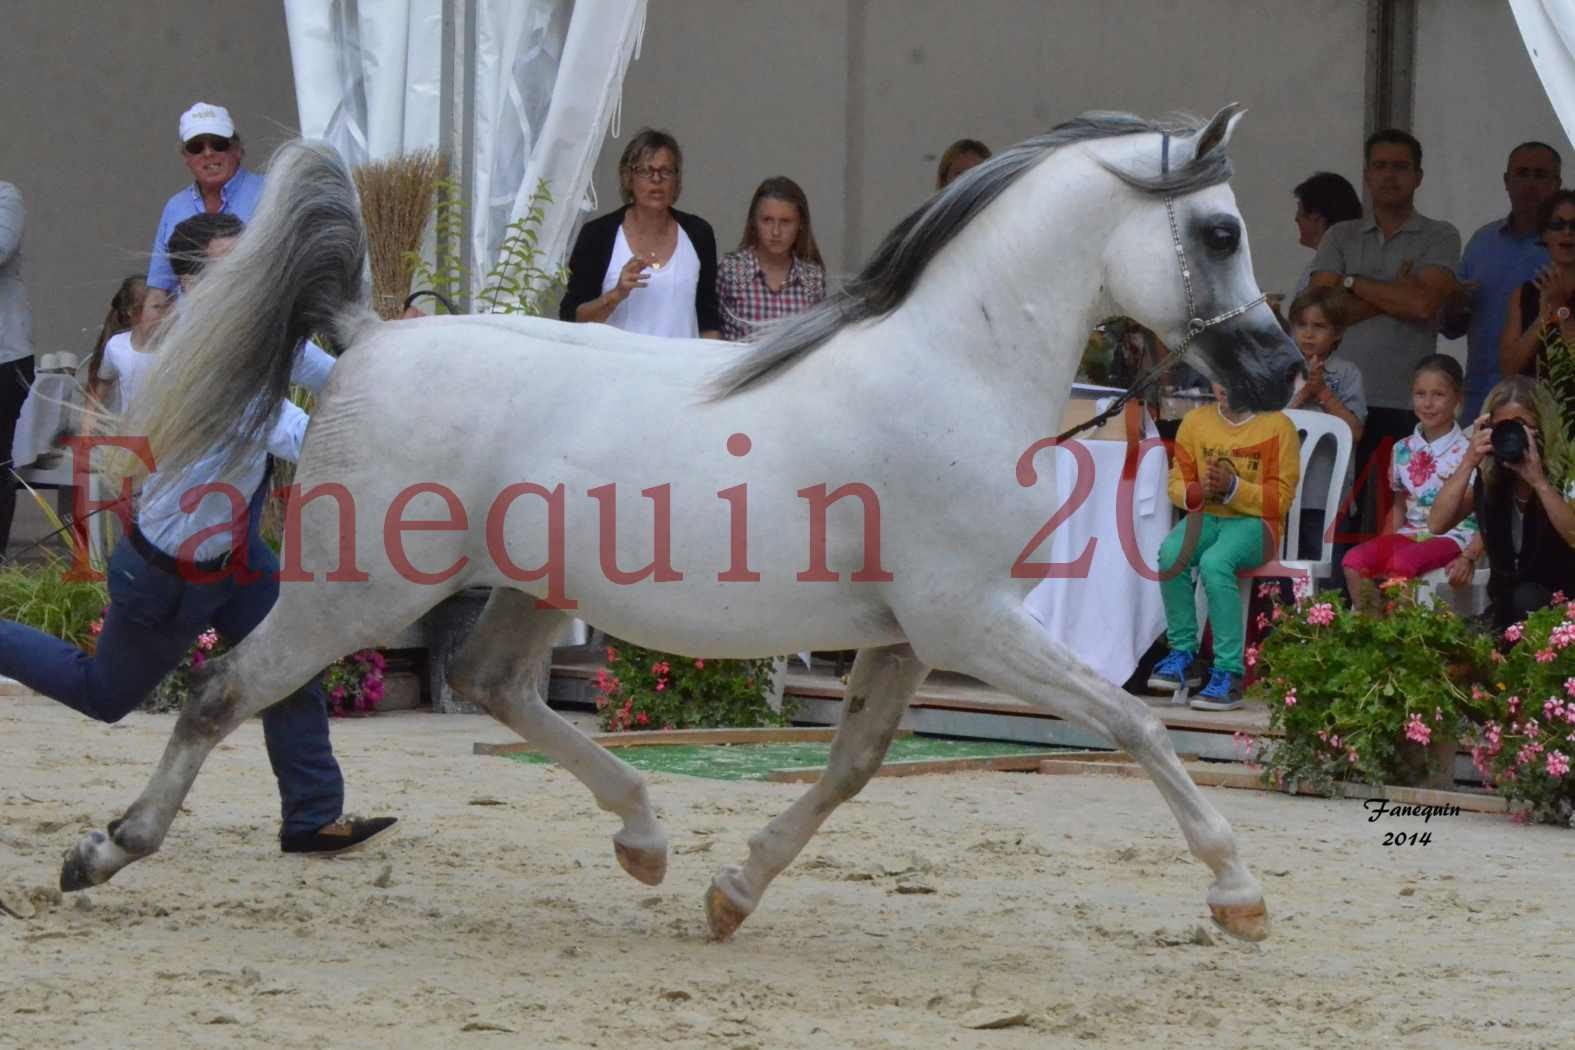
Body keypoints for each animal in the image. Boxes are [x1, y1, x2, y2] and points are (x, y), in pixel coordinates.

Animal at [61, 104, 1297, 944]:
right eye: (1220, 231)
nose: (1279, 369)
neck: (957, 367)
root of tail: (368, 334)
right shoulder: (972, 624)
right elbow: (1132, 725)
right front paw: (1236, 893)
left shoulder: (907, 636)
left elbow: (851, 766)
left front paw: (728, 891)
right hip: (356, 591)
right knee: (224, 690)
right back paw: (104, 850)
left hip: (526, 587)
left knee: (496, 685)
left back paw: (646, 841)